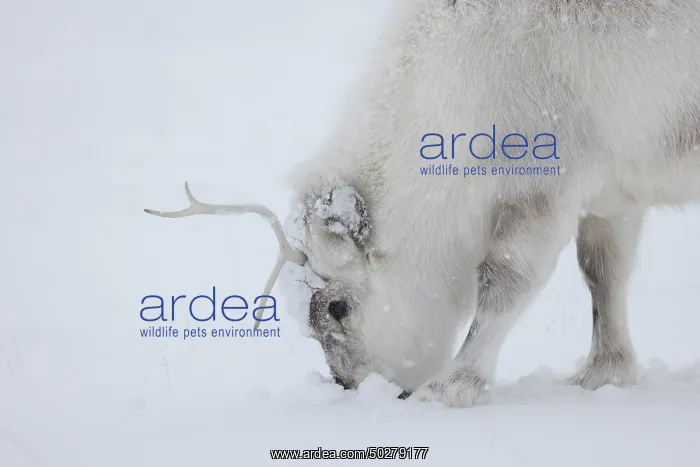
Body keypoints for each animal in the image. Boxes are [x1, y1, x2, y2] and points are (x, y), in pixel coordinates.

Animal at [145, 0, 700, 407]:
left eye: (338, 308)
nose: (352, 388)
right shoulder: (612, 192)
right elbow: (605, 274)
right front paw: (606, 372)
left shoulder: (548, 183)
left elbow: (505, 281)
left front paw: (452, 386)